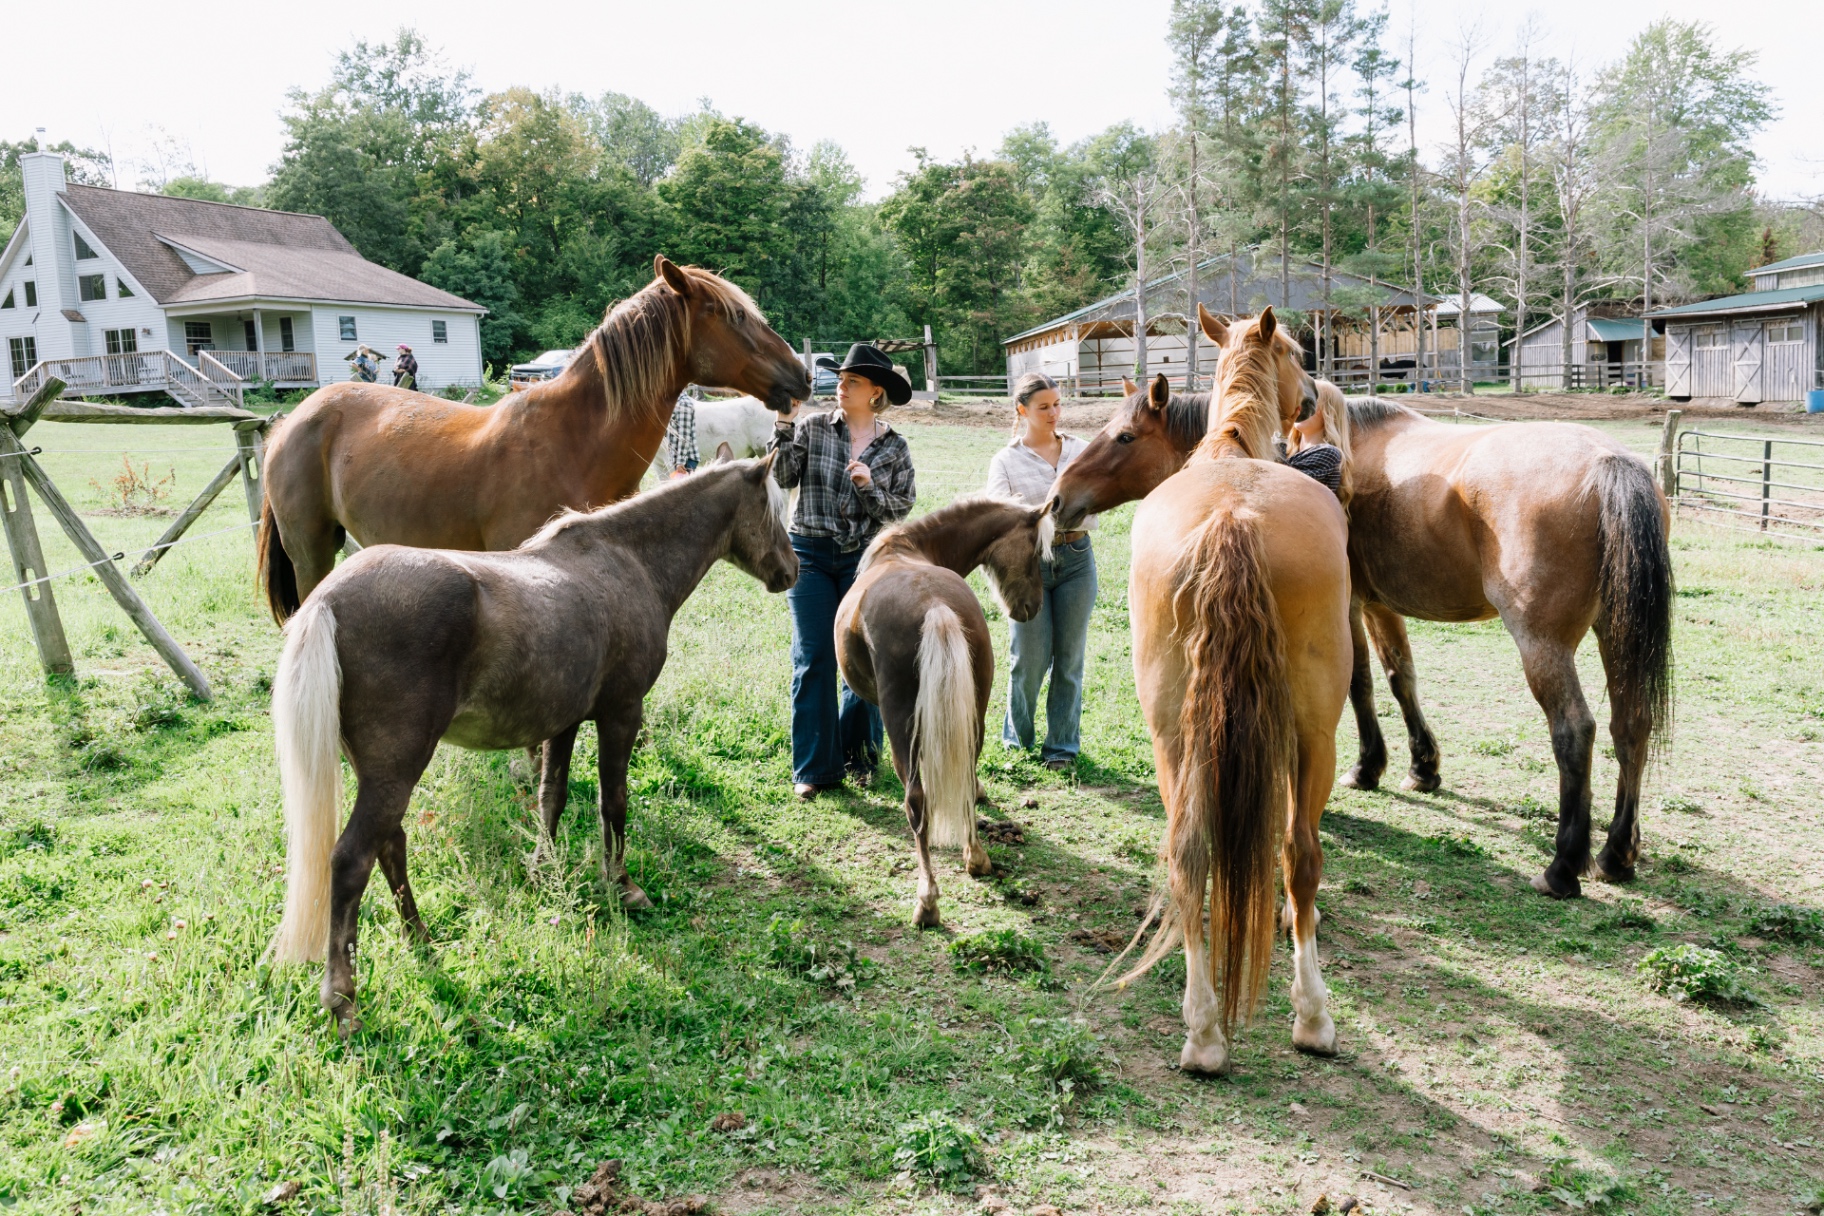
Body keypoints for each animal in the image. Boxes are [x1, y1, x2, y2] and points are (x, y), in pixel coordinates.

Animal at [267, 457, 796, 1035]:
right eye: (773, 509)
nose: (792, 571)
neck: (627, 561)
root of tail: (328, 599)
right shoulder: (621, 714)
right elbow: (614, 802)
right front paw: (622, 885)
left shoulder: (563, 723)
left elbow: (551, 798)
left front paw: (544, 871)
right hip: (396, 771)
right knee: (351, 861)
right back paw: (344, 999)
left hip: (381, 775)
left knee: (391, 847)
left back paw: (421, 939)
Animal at [836, 496, 1053, 928]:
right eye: (1036, 552)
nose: (1032, 607)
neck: (906, 548)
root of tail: (933, 604)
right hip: (976, 708)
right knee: (966, 771)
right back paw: (977, 858)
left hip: (902, 725)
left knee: (916, 800)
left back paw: (927, 901)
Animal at [1050, 304, 1675, 899]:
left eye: (1123, 438)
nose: (1058, 500)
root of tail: (1609, 463)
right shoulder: (1380, 604)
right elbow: (1401, 677)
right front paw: (1422, 766)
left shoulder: (1353, 606)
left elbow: (1362, 683)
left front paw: (1369, 765)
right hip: (1616, 634)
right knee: (1630, 724)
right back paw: (1616, 852)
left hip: (1542, 644)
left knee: (1575, 731)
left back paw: (1564, 865)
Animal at [1118, 307, 1352, 1075]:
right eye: (1298, 351)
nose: (1310, 396)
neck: (1230, 452)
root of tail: (1232, 517)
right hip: (1314, 733)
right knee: (1300, 856)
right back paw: (1312, 1018)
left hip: (1172, 735)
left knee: (1189, 857)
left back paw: (1203, 1034)